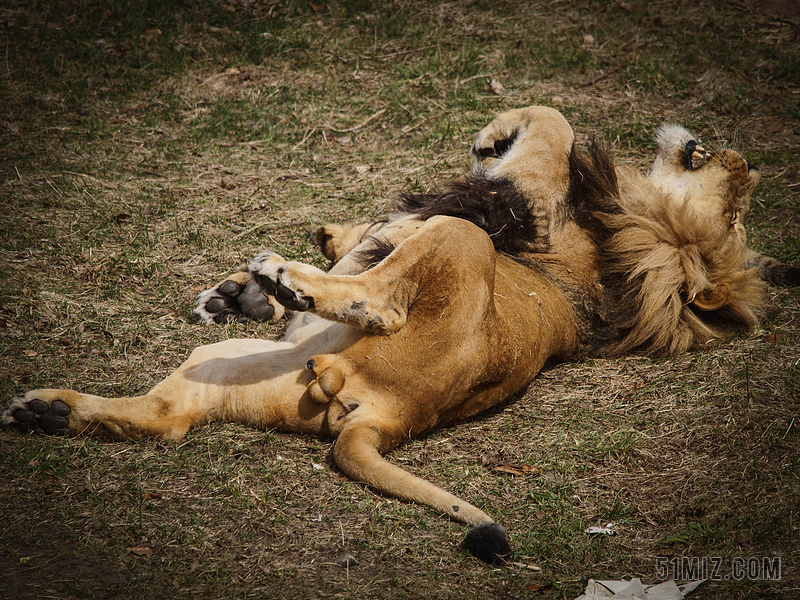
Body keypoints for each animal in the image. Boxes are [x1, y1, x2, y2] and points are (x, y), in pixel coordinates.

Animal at [3, 106, 784, 564]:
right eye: (740, 202)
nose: (744, 159)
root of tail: (391, 416)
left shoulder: (534, 201)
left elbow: (553, 124)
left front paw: (497, 131)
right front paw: (245, 291)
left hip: (461, 241)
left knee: (382, 297)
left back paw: (291, 278)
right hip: (234, 363)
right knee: (168, 418)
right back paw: (51, 410)